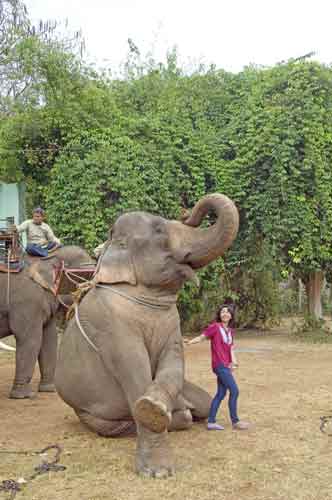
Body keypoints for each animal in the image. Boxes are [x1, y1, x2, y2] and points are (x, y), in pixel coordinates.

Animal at [0, 246, 94, 398]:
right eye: (86, 277)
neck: (48, 257)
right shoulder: (28, 301)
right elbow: (30, 339)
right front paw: (23, 396)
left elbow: (49, 340)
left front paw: (49, 389)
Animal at [55, 193, 240, 478]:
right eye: (160, 231)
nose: (187, 212)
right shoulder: (110, 324)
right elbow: (135, 368)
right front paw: (157, 469)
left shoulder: (172, 322)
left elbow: (174, 362)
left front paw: (156, 408)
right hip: (88, 413)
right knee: (115, 424)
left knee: (204, 403)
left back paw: (185, 412)